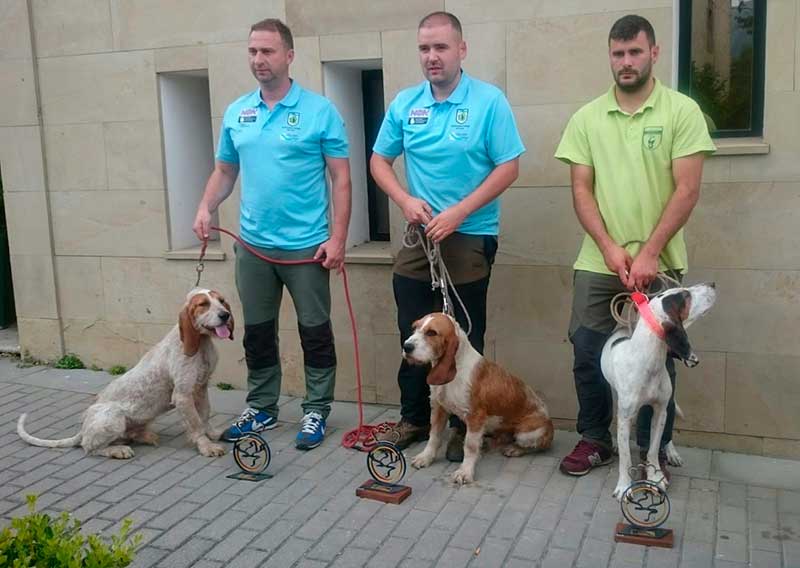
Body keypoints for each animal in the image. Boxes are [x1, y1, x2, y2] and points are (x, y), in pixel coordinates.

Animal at [18, 290, 234, 460]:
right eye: (203, 304)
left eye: (222, 301)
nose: (225, 315)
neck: (200, 344)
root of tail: (83, 429)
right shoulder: (182, 395)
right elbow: (196, 424)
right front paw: (206, 446)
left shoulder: (201, 388)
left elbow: (205, 415)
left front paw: (213, 434)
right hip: (114, 417)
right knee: (89, 447)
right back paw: (118, 450)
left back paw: (145, 436)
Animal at [600, 282, 720, 500]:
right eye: (685, 295)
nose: (712, 284)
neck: (649, 361)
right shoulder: (625, 416)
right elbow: (625, 456)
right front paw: (623, 485)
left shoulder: (660, 411)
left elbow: (653, 449)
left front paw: (655, 477)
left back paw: (671, 452)